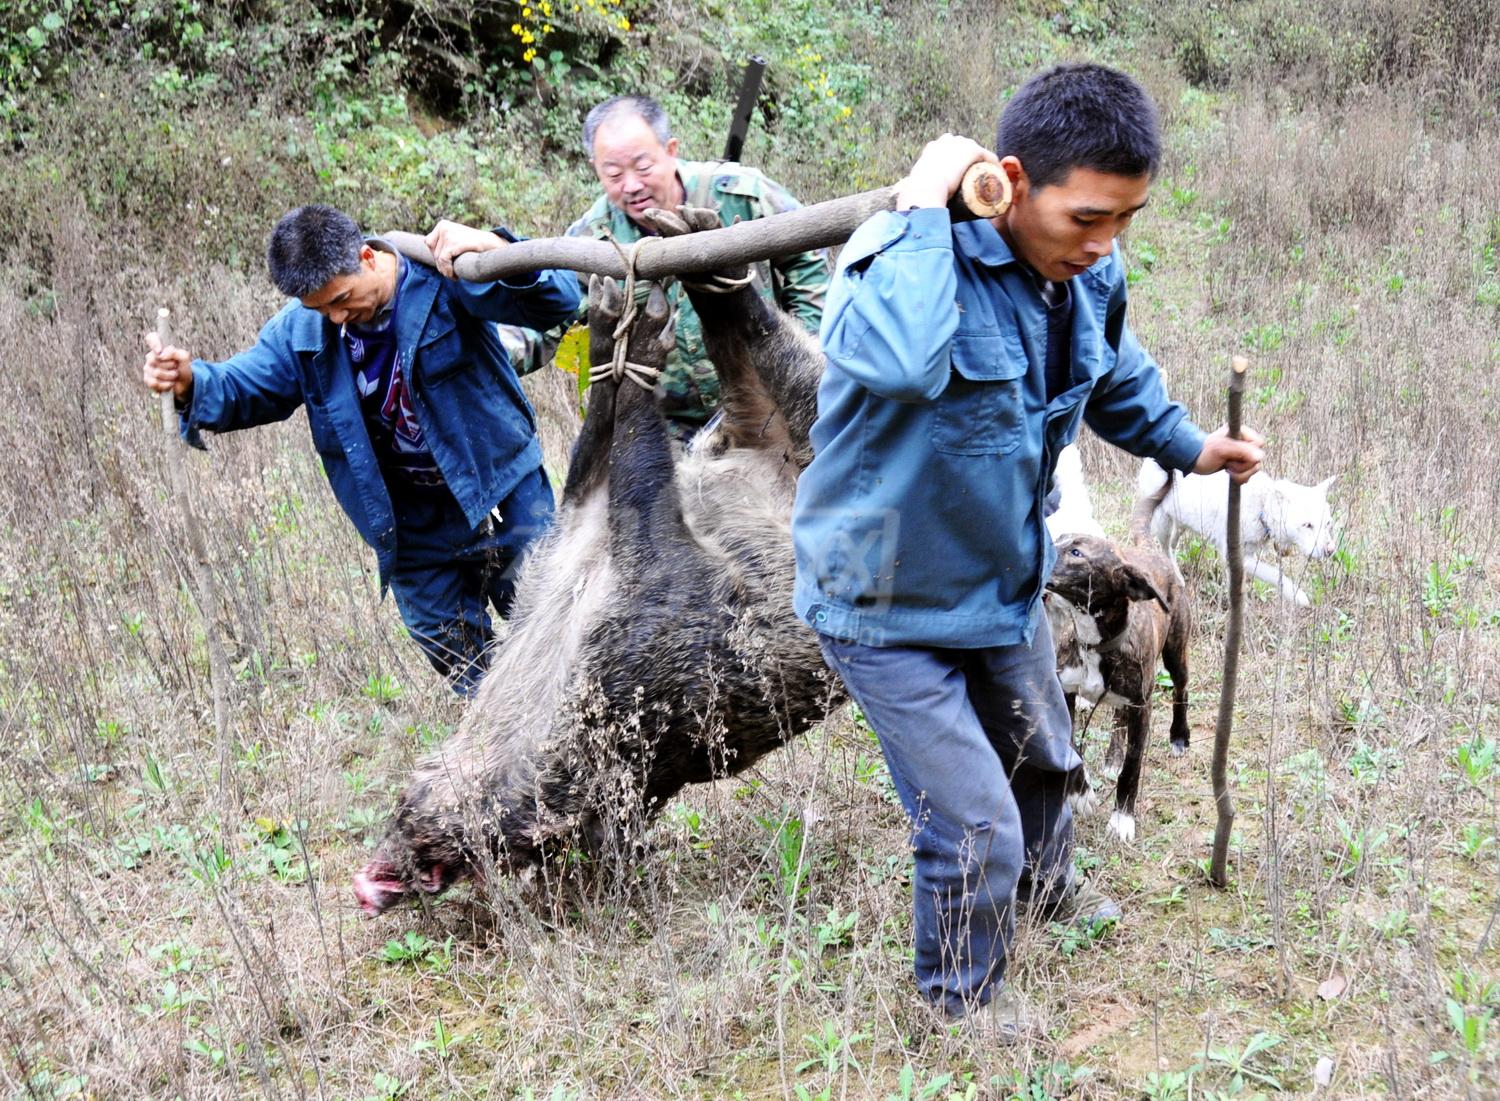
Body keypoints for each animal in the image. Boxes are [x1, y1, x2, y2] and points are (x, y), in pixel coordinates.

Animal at [1134, 462, 1338, 609]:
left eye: (1328, 523)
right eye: (1307, 525)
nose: (1330, 550)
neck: (1261, 507)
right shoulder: (1235, 556)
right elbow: (1275, 573)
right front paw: (1297, 595)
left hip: (1181, 524)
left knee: (1172, 546)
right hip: (1163, 524)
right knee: (1165, 548)